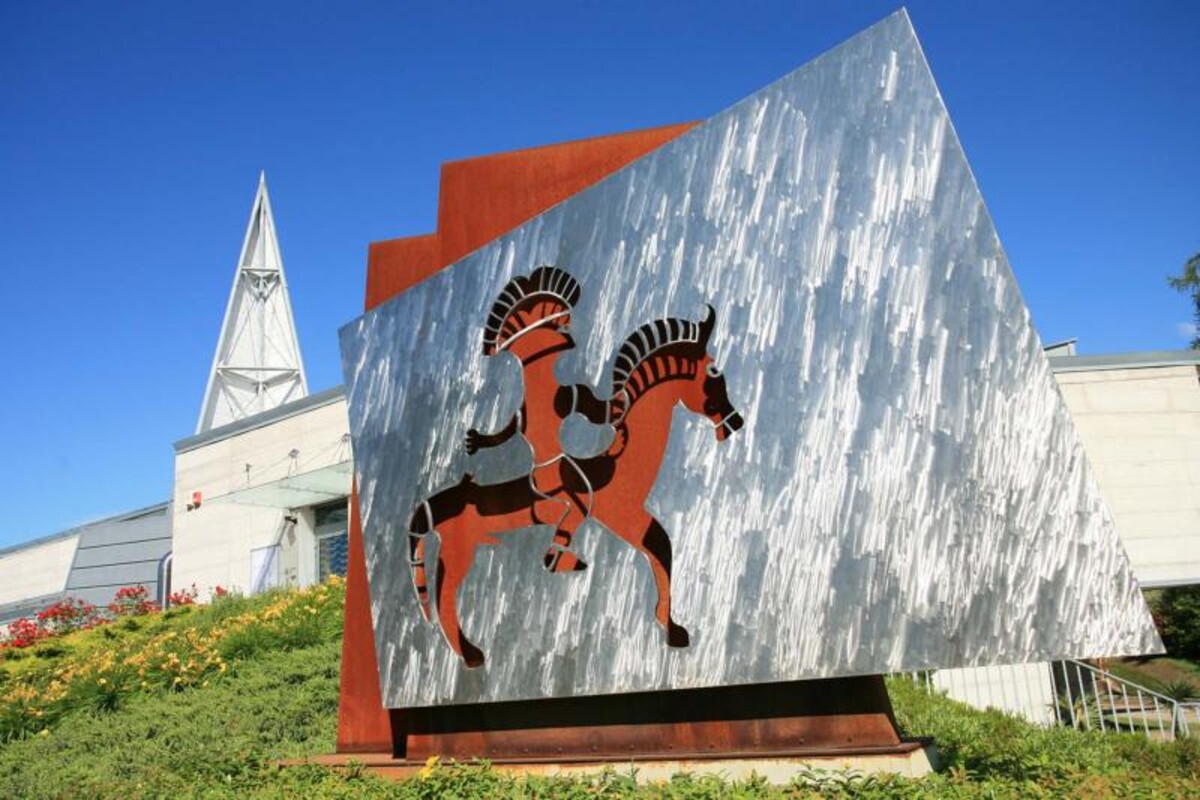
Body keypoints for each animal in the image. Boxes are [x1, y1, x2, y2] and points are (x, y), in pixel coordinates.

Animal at [407, 305, 743, 667]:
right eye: (713, 372)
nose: (735, 421)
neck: (620, 467)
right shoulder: (616, 515)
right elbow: (660, 547)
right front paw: (672, 629)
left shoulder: (630, 519)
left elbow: (660, 548)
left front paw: (670, 626)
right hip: (461, 552)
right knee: (444, 595)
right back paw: (472, 652)